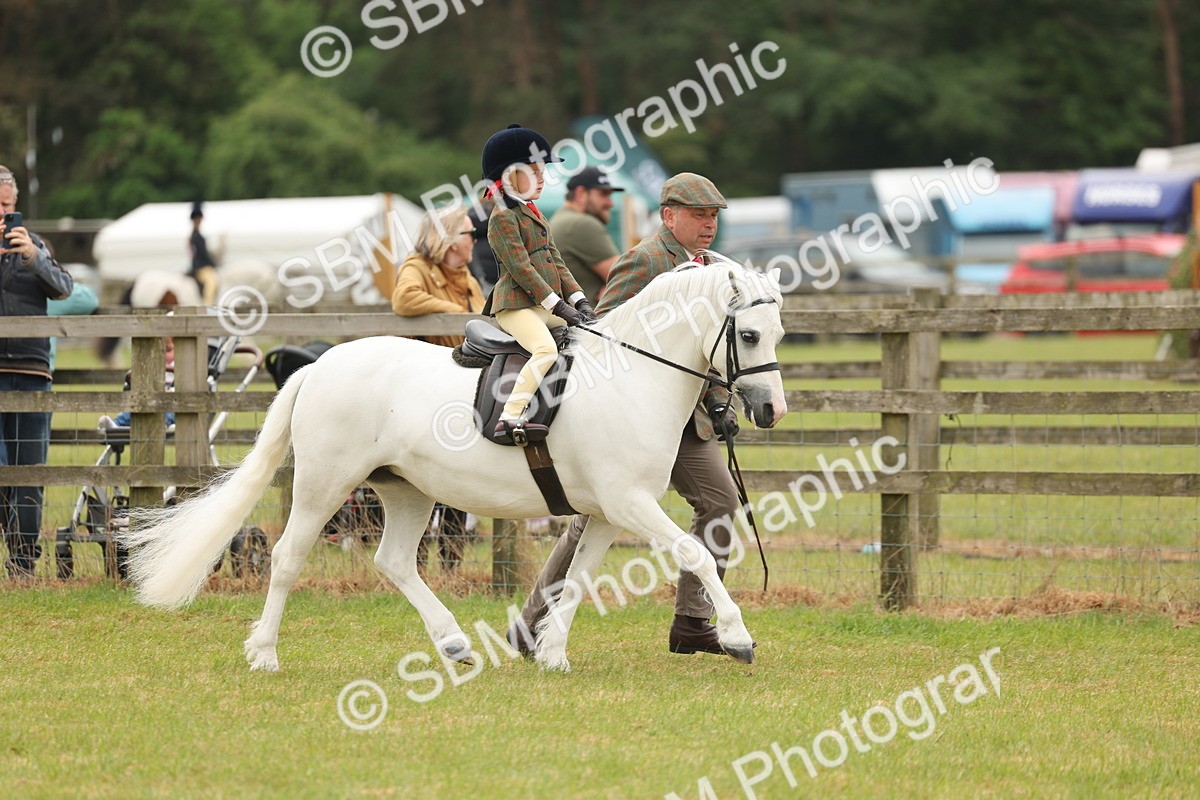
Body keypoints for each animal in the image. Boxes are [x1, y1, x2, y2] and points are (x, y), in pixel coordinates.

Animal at [119, 261, 788, 673]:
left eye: (780, 331)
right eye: (750, 335)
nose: (770, 410)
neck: (632, 376)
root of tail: (319, 366)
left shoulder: (607, 512)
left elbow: (577, 579)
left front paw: (553, 655)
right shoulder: (630, 504)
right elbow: (695, 552)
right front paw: (737, 637)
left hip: (407, 491)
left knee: (393, 562)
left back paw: (454, 641)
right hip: (323, 485)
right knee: (286, 557)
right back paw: (264, 653)